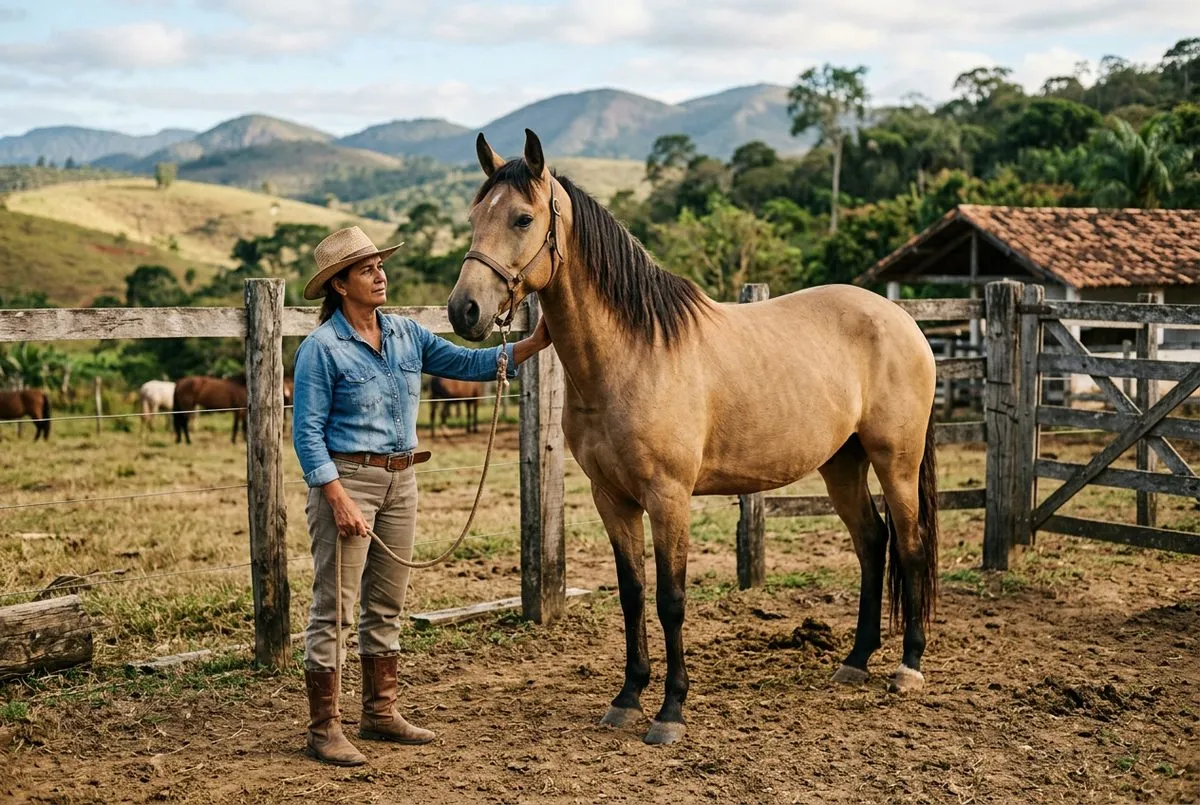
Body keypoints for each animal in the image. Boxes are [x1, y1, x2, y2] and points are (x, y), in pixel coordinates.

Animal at [447, 130, 939, 745]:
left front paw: (670, 711)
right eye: (474, 217)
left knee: (911, 545)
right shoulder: (613, 499)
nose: (464, 310)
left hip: (896, 461)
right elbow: (632, 595)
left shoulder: (669, 497)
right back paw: (854, 661)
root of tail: (902, 319)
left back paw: (908, 667)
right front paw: (628, 697)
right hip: (841, 464)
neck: (633, 353)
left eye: (522, 217)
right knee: (873, 543)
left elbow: (671, 599)